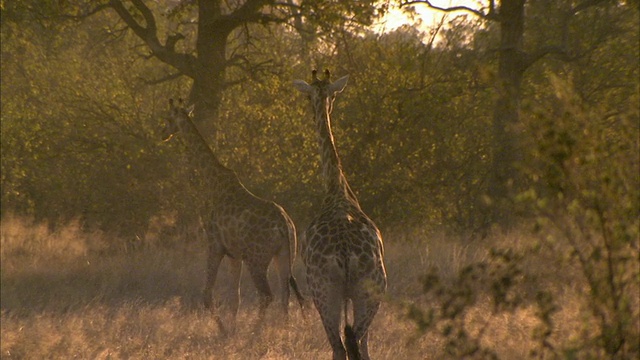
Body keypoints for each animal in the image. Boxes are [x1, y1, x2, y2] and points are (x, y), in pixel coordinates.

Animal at [164, 97, 306, 320]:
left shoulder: (215, 244)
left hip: (257, 259)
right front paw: (231, 326)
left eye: (168, 118)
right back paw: (282, 327)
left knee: (267, 295)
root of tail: (284, 225)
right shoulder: (235, 255)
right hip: (284, 254)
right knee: (285, 295)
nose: (163, 133)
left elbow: (208, 296)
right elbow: (234, 299)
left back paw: (258, 329)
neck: (213, 182)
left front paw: (221, 326)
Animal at [294, 71, 388, 360]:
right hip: (370, 290)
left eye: (307, 96)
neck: (337, 189)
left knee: (340, 346)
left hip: (325, 292)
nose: (318, 109)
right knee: (357, 344)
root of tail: (346, 254)